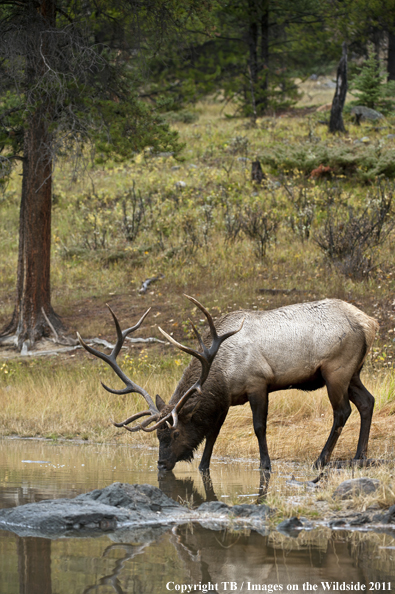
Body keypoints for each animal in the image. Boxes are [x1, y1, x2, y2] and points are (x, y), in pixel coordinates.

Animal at [77, 296, 378, 472]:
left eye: (174, 433)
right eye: (157, 436)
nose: (162, 464)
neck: (222, 373)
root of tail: (370, 323)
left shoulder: (258, 383)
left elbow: (258, 427)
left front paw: (265, 464)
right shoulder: (225, 400)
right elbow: (213, 433)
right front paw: (203, 466)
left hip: (336, 370)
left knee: (342, 411)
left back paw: (320, 460)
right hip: (353, 372)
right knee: (367, 401)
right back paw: (359, 457)